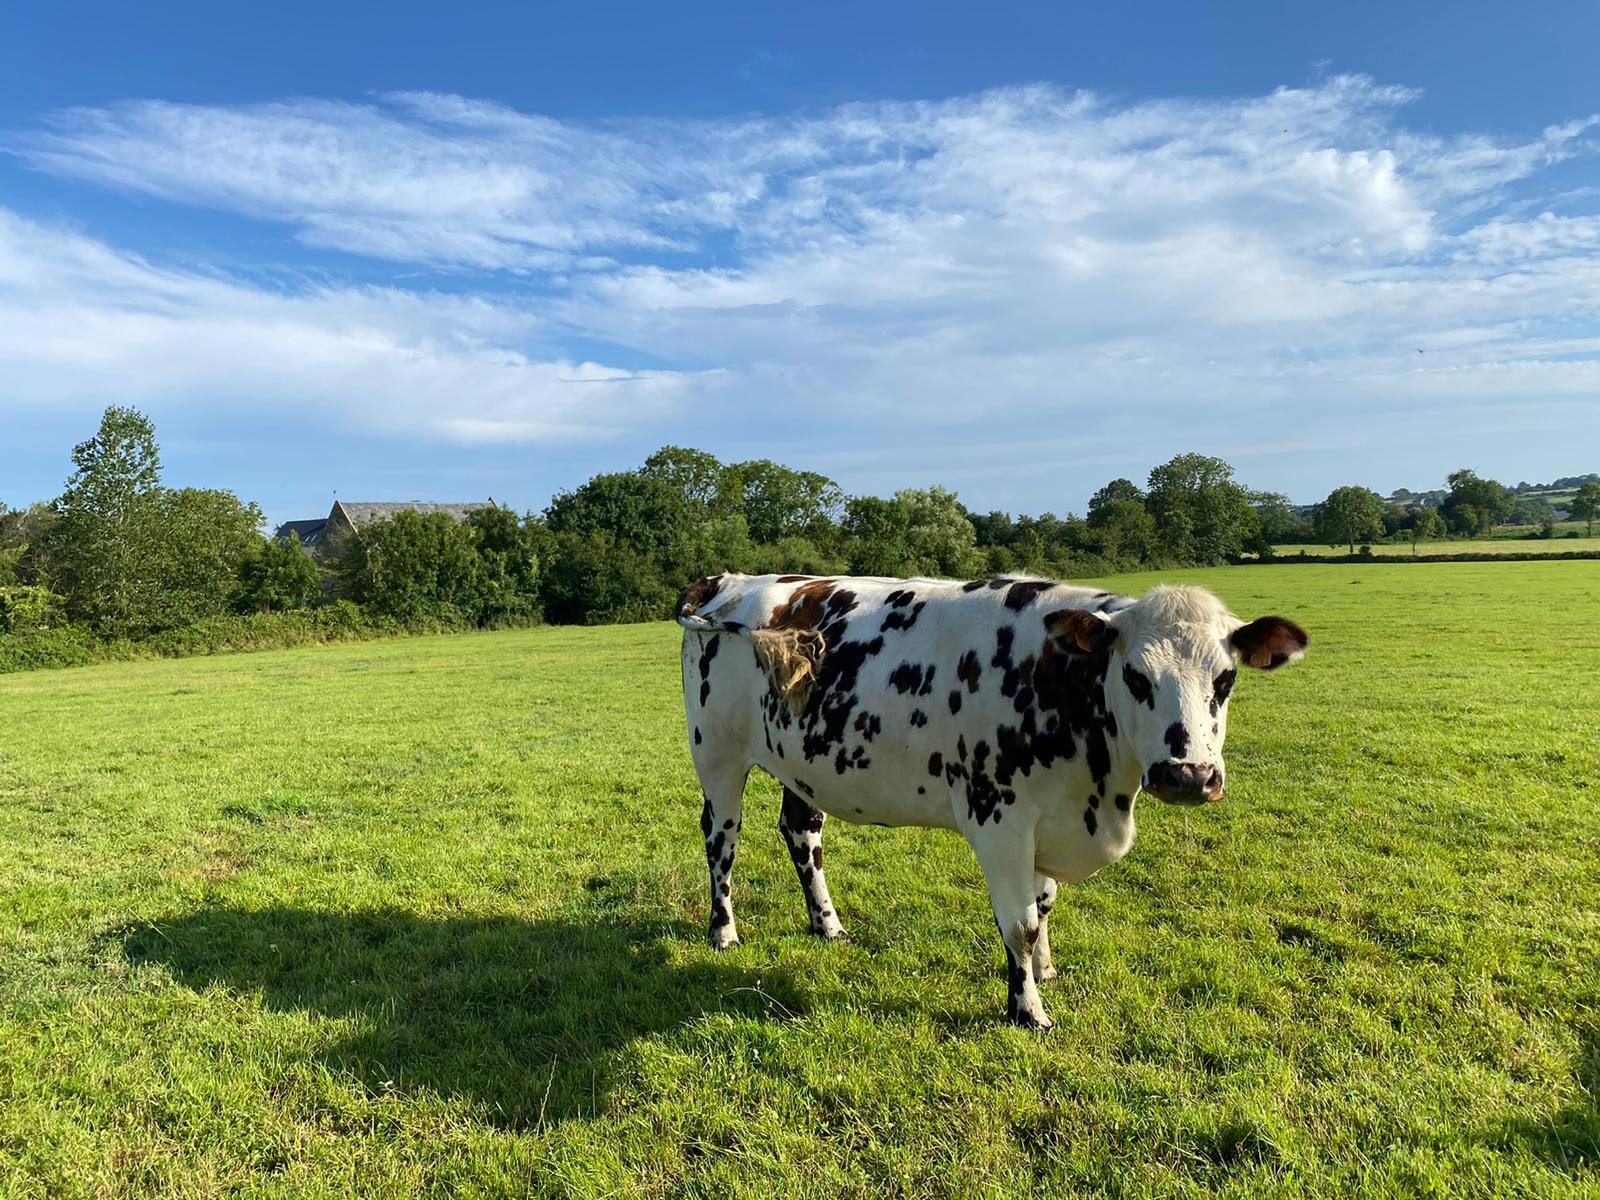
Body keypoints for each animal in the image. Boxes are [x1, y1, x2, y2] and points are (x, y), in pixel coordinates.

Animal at [678, 579, 1312, 1030]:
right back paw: (724, 931)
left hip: (803, 763)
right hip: (718, 754)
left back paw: (827, 925)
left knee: (801, 831)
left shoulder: (1048, 819)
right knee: (721, 837)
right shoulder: (999, 818)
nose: (1189, 776)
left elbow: (1045, 904)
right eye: (1135, 676)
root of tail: (728, 580)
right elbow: (1021, 924)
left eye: (1226, 679)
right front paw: (1027, 1010)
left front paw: (1046, 971)